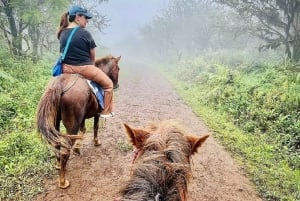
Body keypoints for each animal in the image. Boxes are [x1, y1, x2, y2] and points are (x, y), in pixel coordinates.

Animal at [37, 54, 120, 188]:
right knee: (65, 151)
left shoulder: (82, 117)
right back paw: (63, 181)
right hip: (72, 125)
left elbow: (83, 130)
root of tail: (60, 85)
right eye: (118, 68)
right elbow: (95, 127)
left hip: (56, 122)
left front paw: (77, 149)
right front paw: (96, 142)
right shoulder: (97, 113)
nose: (117, 85)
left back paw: (58, 165)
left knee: (56, 144)